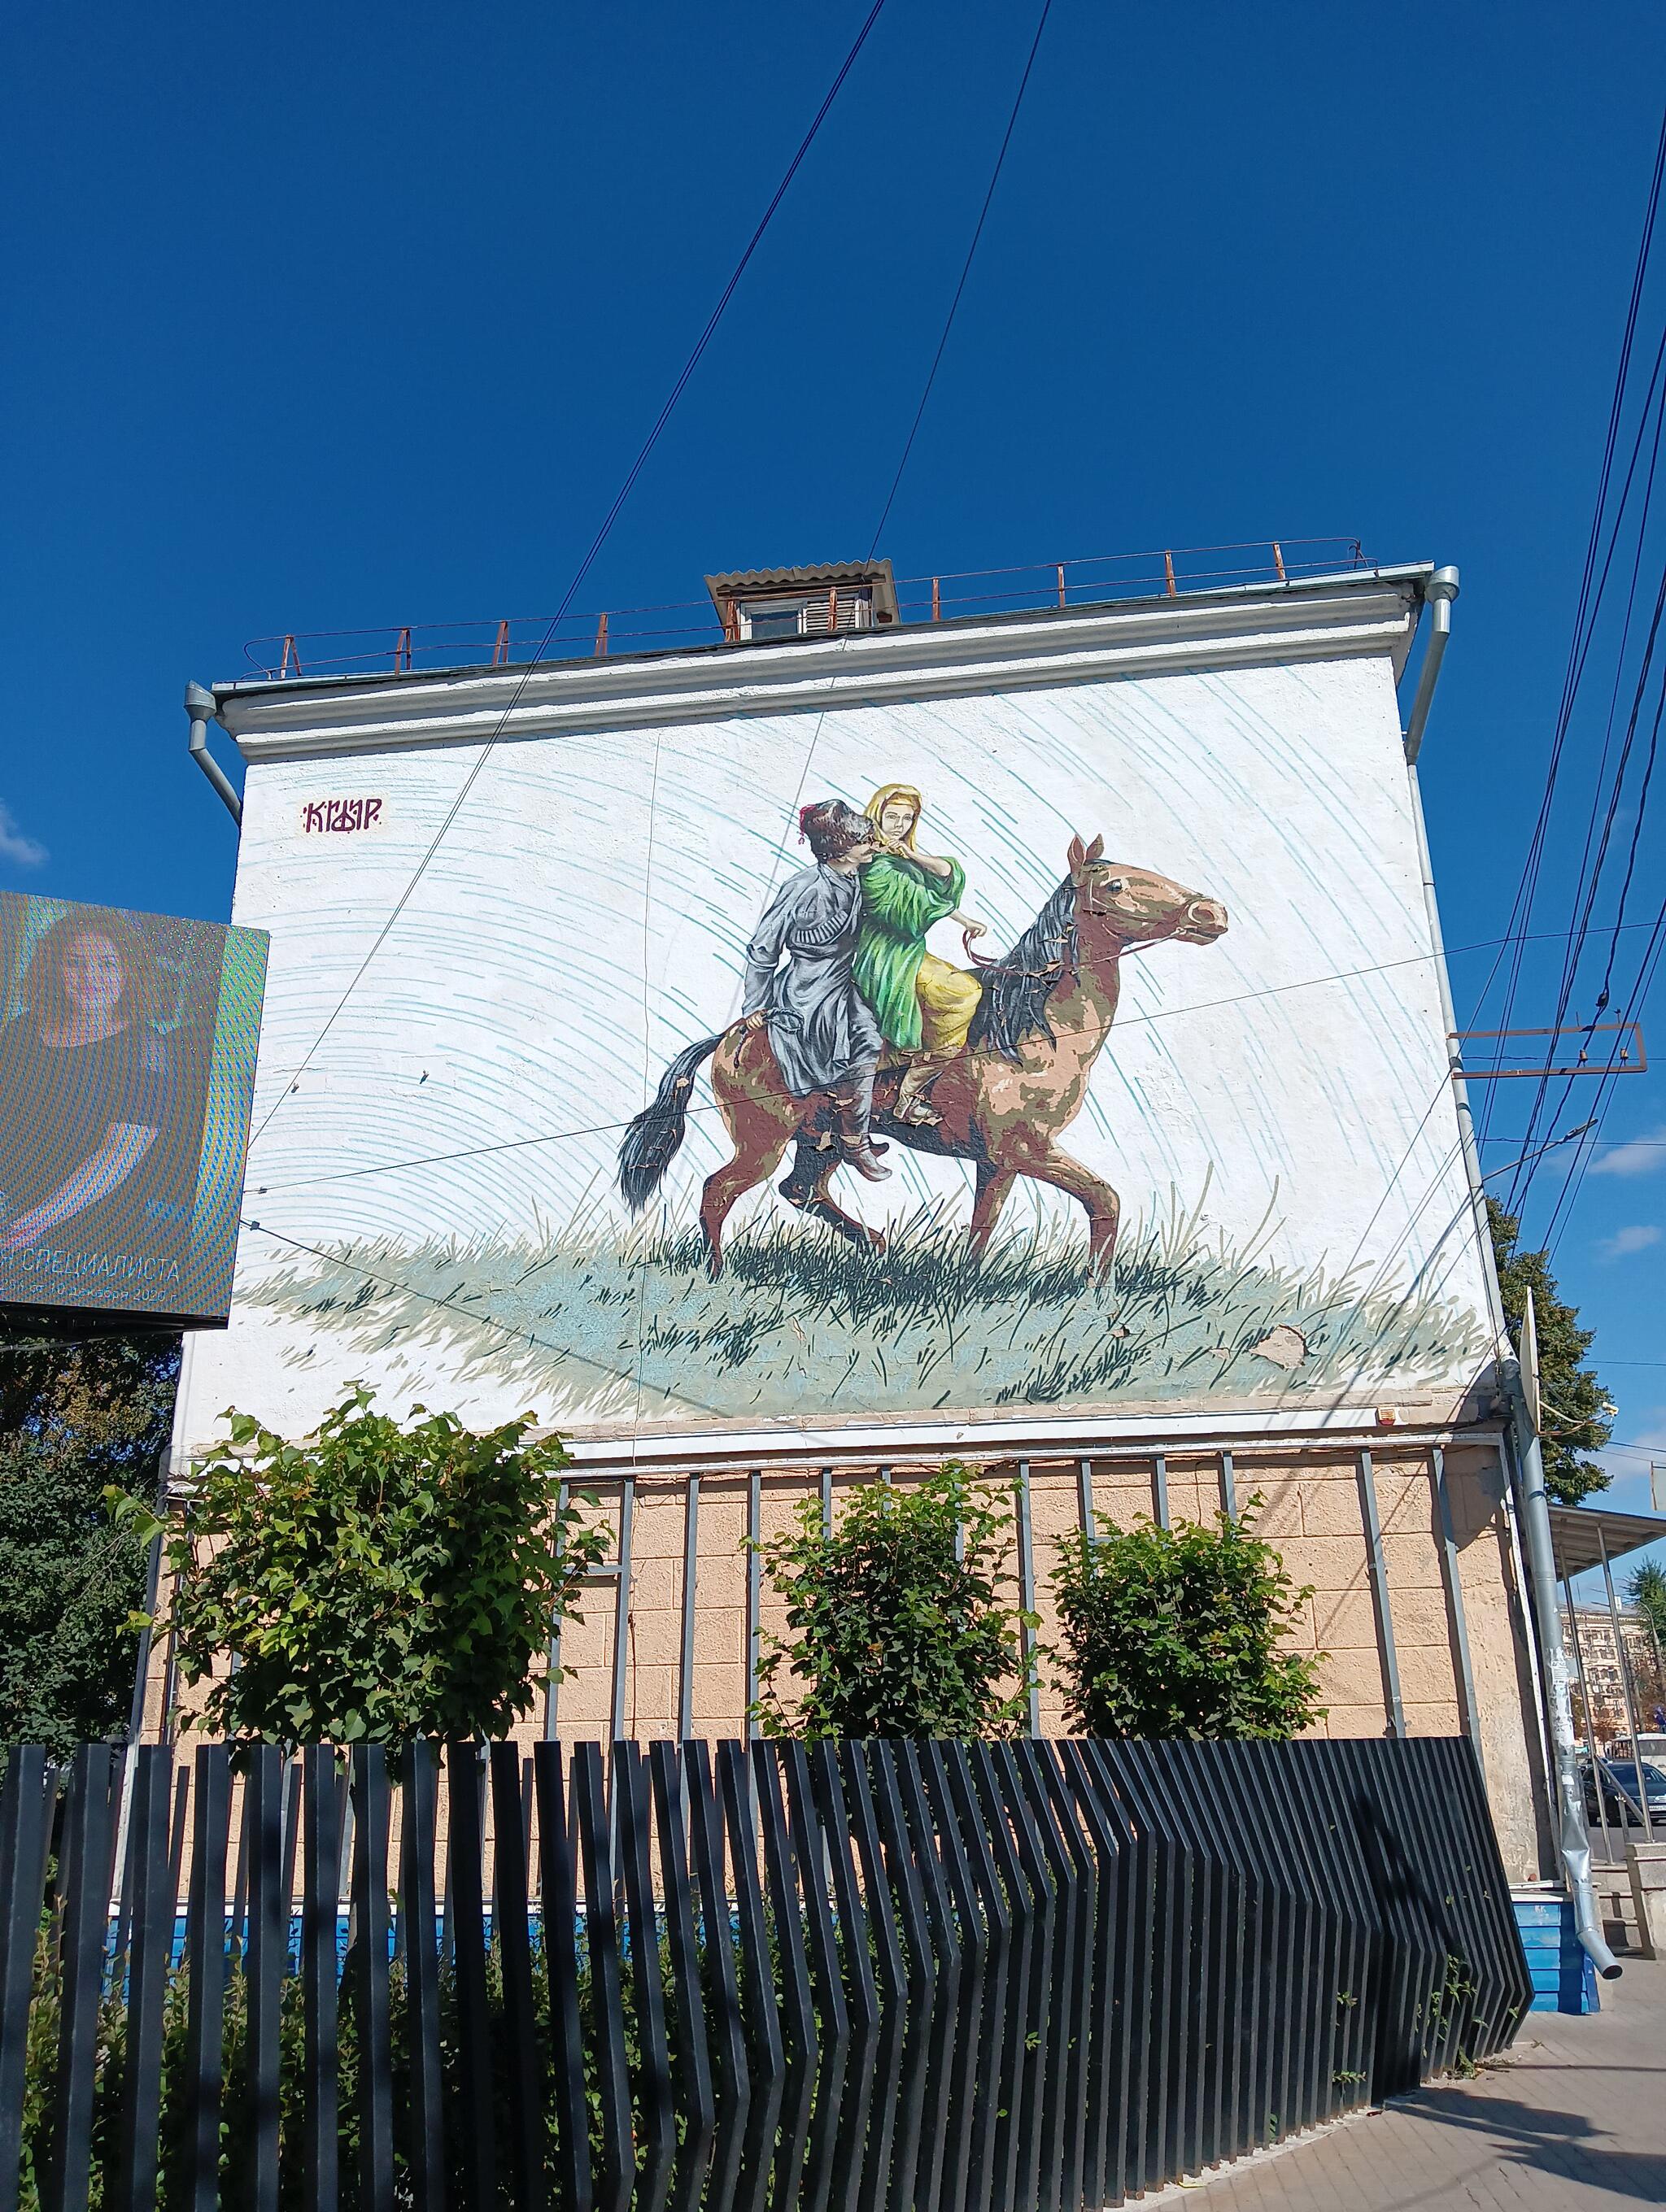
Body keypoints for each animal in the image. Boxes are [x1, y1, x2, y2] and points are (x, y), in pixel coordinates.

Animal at [619, 831, 1230, 1282]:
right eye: (1118, 883)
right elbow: (1104, 1198)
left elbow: (984, 1229)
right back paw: (719, 1274)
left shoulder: (997, 1162)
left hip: (824, 1139)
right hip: (761, 1143)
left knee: (801, 1190)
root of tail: (734, 1034)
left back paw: (877, 1245)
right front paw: (1096, 1289)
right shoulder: (1024, 1151)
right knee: (718, 1192)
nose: (1212, 912)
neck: (1029, 1029)